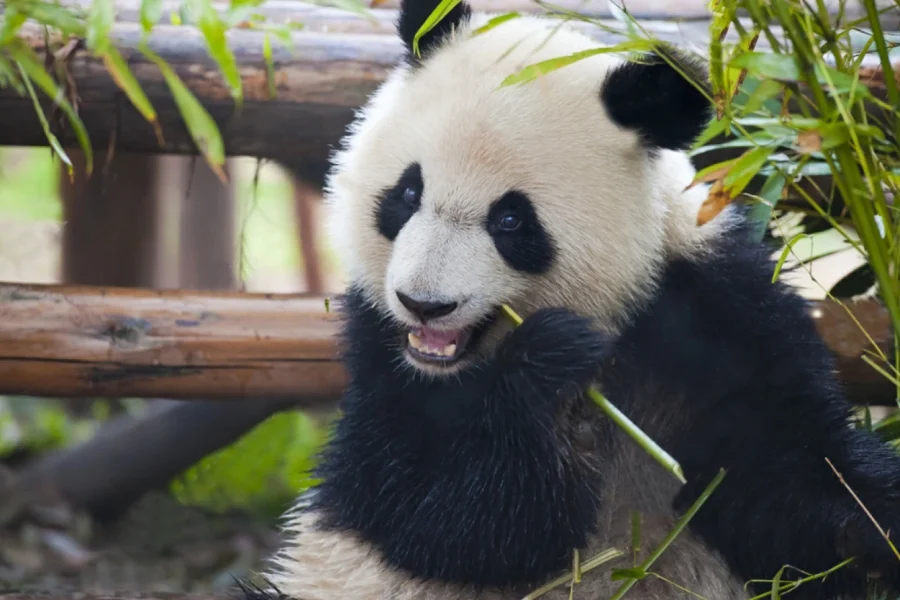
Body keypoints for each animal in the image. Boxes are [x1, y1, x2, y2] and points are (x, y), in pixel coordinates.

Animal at [240, 1, 900, 598]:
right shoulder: (381, 355)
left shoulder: (712, 315)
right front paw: (549, 358)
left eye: (510, 220)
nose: (424, 304)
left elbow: (787, 480)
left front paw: (872, 532)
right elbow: (443, 515)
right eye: (406, 193)